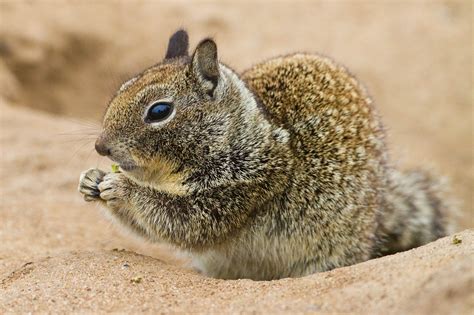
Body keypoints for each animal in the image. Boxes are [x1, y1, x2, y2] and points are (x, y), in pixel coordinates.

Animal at [78, 30, 456, 282]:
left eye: (159, 111)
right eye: (122, 88)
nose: (101, 147)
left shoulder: (247, 184)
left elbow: (182, 222)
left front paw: (122, 188)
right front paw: (91, 180)